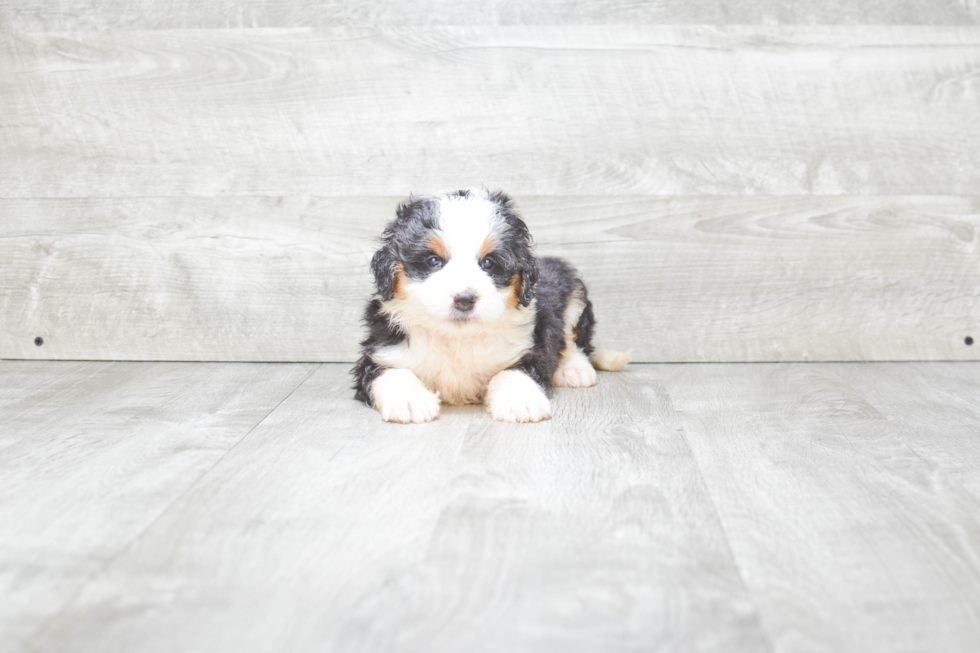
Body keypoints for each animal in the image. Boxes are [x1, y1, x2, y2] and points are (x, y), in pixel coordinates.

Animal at [352, 188, 628, 422]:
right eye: (433, 261)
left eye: (488, 263)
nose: (464, 299)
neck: (457, 340)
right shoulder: (379, 353)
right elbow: (393, 371)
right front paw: (410, 401)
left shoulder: (530, 349)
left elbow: (512, 371)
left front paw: (520, 400)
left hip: (574, 294)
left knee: (573, 341)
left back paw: (574, 369)